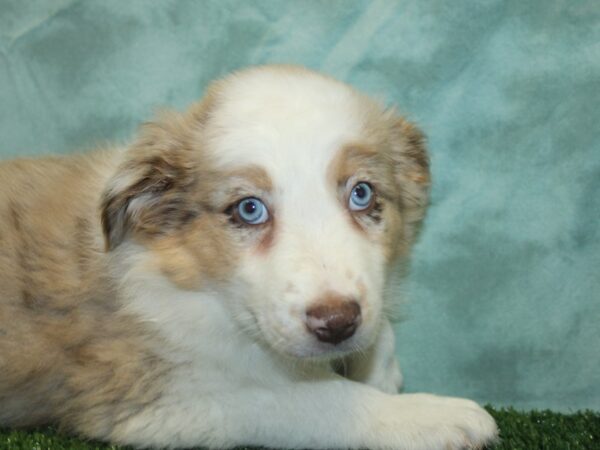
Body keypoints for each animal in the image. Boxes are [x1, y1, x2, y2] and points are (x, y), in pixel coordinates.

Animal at [0, 65, 496, 448]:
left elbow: (379, 330)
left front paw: (379, 368)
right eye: (249, 209)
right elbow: (315, 399)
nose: (337, 323)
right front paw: (431, 416)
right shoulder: (163, 396)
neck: (204, 290)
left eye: (361, 194)